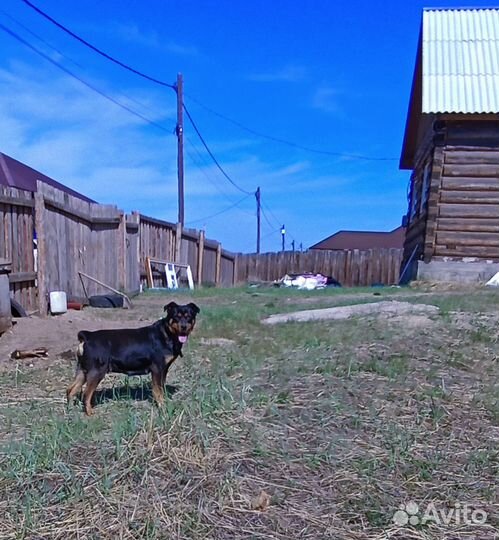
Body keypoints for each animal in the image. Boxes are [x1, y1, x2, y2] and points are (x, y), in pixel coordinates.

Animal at [66, 302, 199, 416]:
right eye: (176, 316)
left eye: (189, 317)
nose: (183, 326)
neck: (167, 333)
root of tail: (87, 336)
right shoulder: (157, 368)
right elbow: (157, 390)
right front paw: (162, 407)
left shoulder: (164, 369)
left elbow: (162, 387)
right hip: (96, 371)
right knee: (86, 394)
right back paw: (89, 413)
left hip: (82, 370)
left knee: (70, 390)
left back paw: (70, 410)